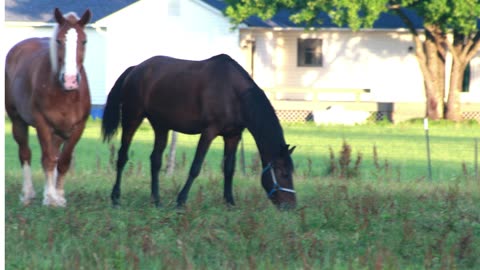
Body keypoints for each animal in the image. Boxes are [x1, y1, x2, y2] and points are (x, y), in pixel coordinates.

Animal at [4, 8, 92, 207]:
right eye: (58, 41)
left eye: (84, 41)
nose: (70, 80)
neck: (66, 94)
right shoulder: (42, 124)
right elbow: (47, 159)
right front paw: (50, 198)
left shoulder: (78, 127)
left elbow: (63, 161)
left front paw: (58, 196)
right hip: (17, 121)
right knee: (25, 154)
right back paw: (28, 194)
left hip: (58, 132)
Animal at [101, 53, 296, 209]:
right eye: (284, 173)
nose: (291, 206)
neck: (234, 94)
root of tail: (135, 69)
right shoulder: (209, 132)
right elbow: (195, 167)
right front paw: (181, 200)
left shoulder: (233, 136)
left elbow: (229, 169)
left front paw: (230, 203)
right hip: (132, 118)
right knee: (122, 156)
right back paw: (116, 198)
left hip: (161, 126)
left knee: (155, 160)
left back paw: (156, 200)